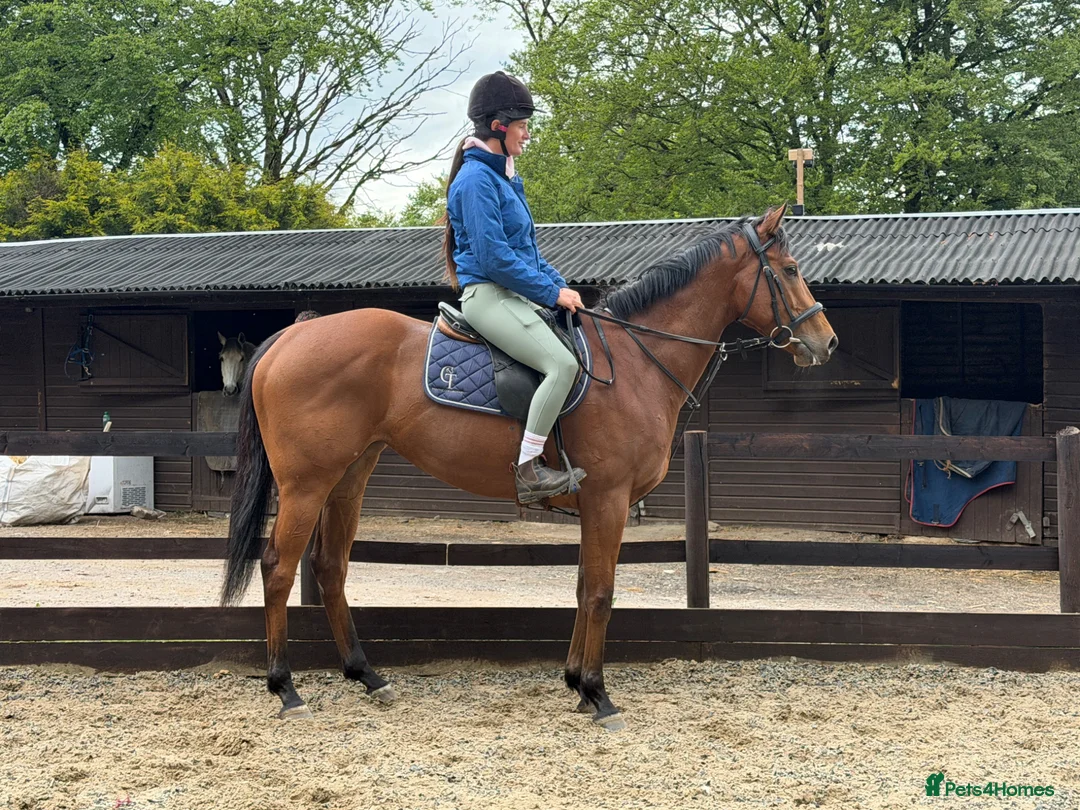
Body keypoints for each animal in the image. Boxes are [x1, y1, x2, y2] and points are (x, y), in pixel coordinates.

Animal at [220, 205, 838, 729]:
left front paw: (576, 682)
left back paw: (367, 676)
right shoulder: (609, 498)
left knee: (329, 567)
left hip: (350, 477)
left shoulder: (597, 504)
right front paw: (598, 693)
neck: (636, 362)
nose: (825, 342)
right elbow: (601, 592)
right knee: (278, 567)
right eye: (789, 270)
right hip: (306, 484)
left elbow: (584, 586)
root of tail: (291, 335)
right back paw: (286, 688)